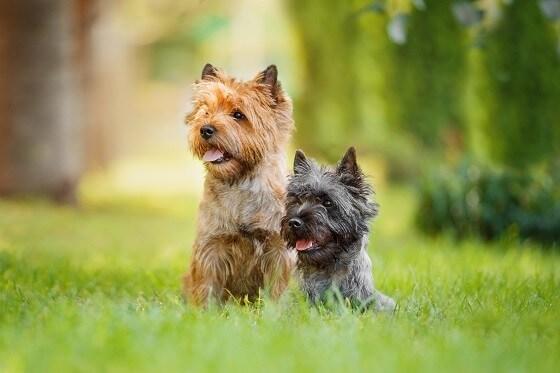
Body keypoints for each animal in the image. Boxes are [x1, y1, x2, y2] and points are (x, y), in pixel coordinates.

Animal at [184, 62, 296, 304]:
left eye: (238, 115)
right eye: (206, 111)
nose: (205, 129)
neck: (240, 182)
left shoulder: (278, 248)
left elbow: (278, 286)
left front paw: (276, 309)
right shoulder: (212, 245)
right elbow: (207, 284)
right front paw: (203, 310)